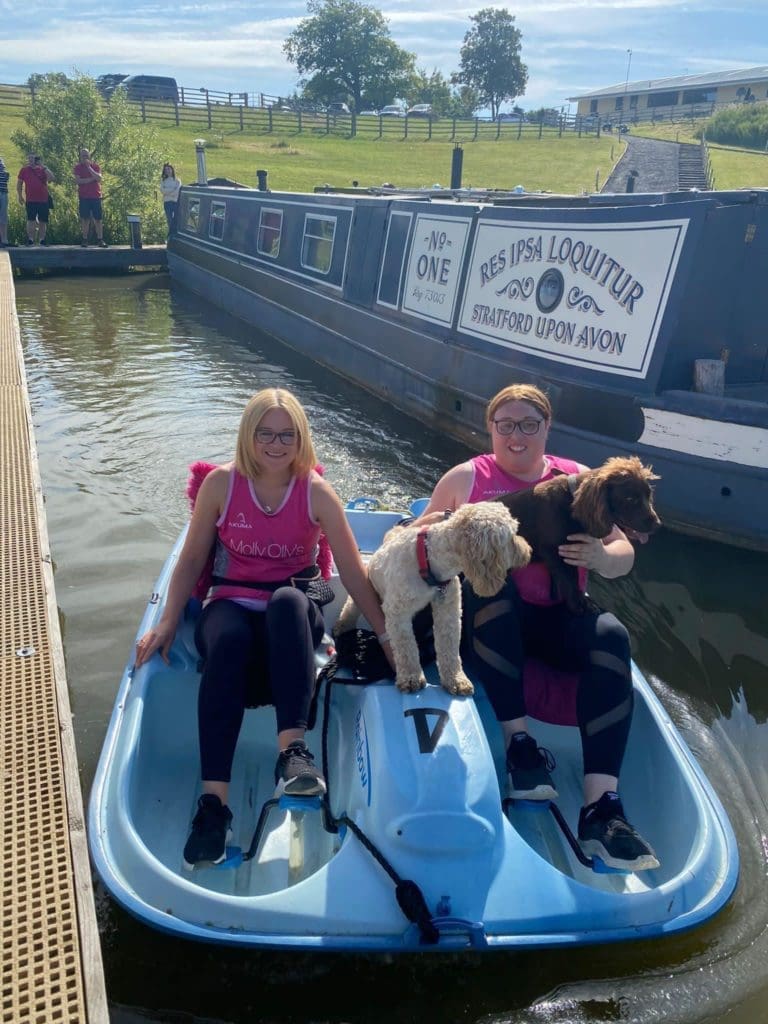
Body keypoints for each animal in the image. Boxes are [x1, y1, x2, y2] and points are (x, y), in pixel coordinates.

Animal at [333, 501, 532, 696]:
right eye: (512, 536)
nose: (528, 552)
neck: (429, 562)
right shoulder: (397, 612)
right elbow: (406, 647)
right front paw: (411, 677)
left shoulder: (449, 609)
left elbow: (449, 646)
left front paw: (456, 680)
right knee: (351, 606)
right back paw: (342, 626)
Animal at [499, 458, 663, 614]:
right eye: (630, 499)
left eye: (649, 495)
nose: (657, 525)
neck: (571, 502)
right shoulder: (552, 550)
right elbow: (570, 579)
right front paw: (580, 605)